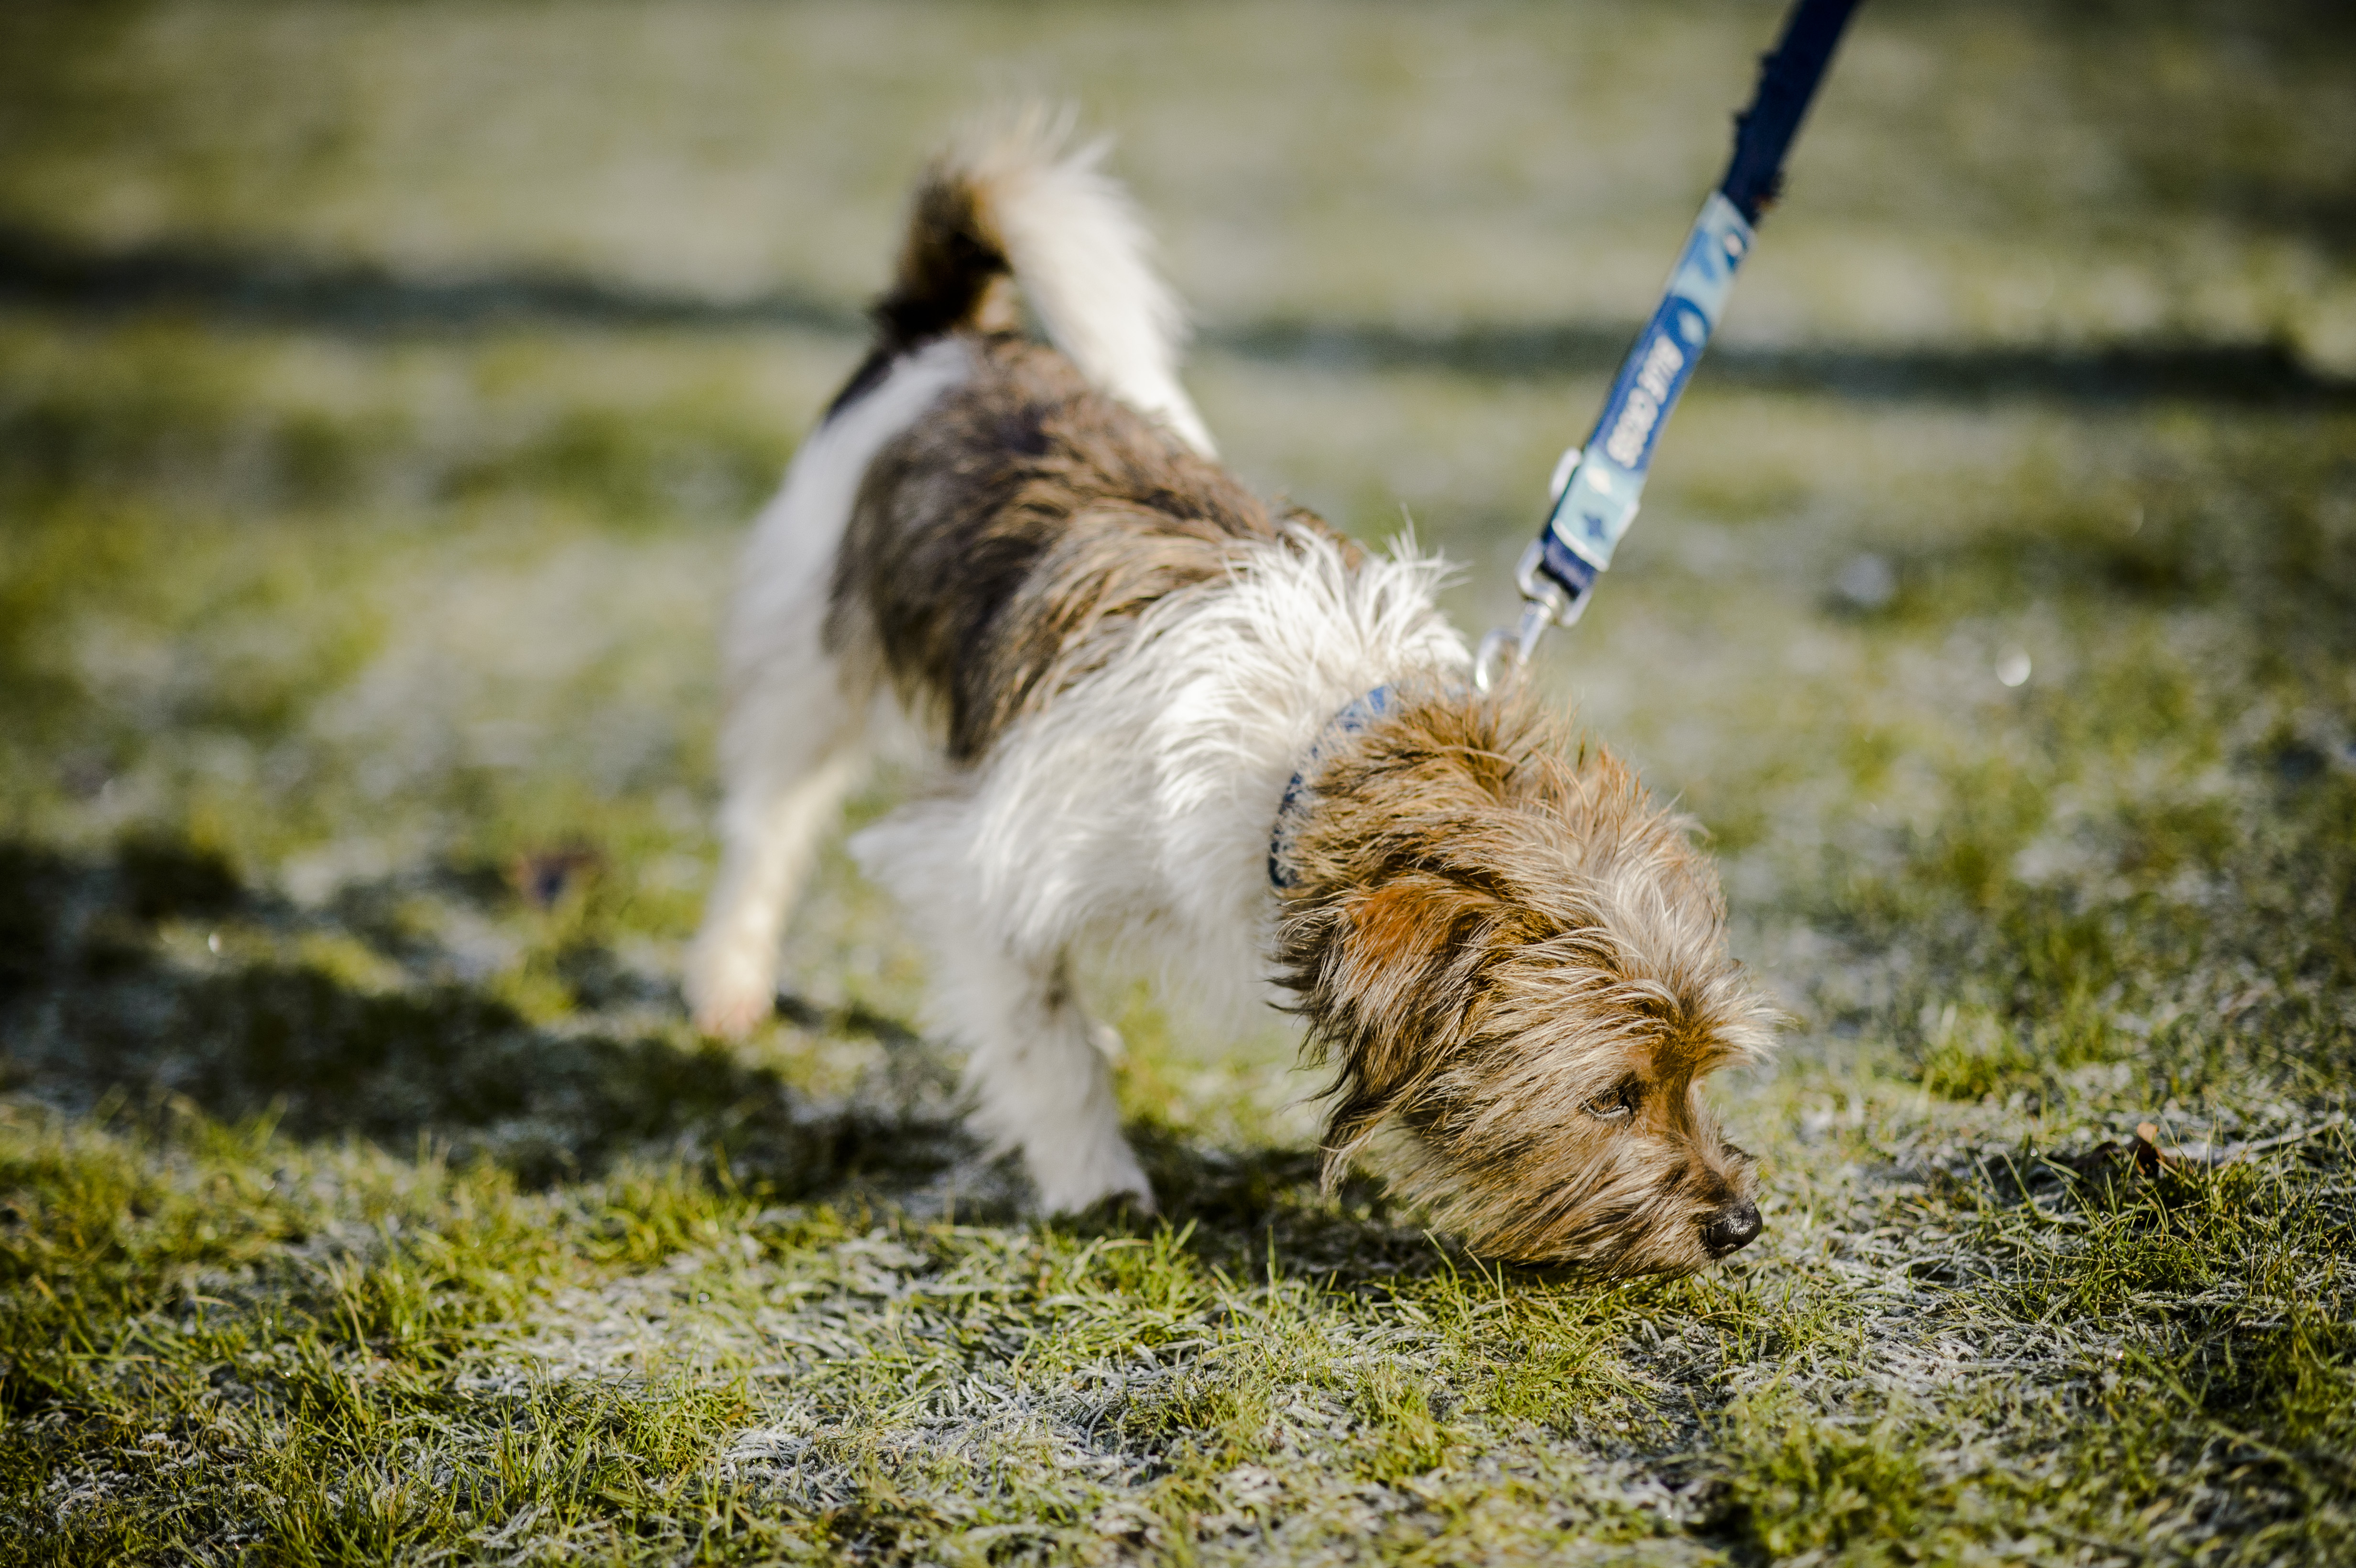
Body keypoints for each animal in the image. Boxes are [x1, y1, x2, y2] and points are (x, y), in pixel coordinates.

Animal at [683, 119, 1771, 1271]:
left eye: (1698, 1071)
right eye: (1613, 1094)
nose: (1738, 1224)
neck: (1310, 754)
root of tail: (949, 338)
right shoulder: (970, 867)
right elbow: (1043, 1039)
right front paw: (1096, 1176)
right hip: (807, 666)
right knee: (768, 827)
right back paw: (728, 979)